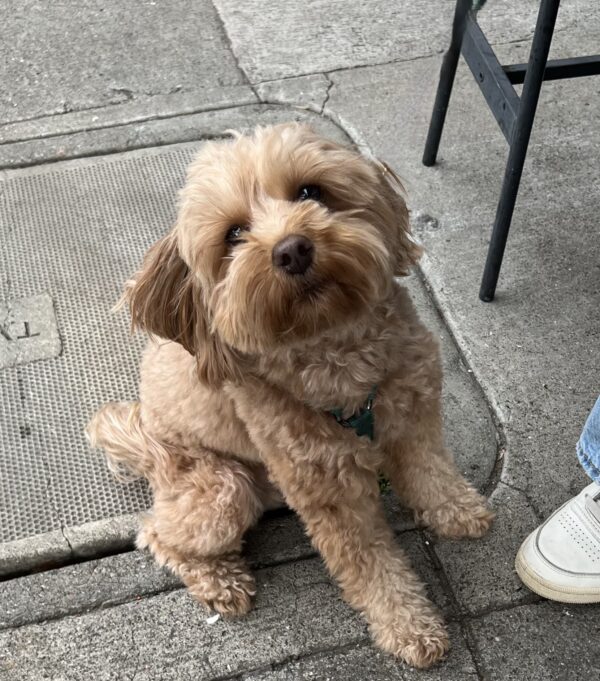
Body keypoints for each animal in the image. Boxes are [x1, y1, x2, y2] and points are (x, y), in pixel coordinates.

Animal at [88, 123, 492, 668]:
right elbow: (370, 565)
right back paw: (220, 580)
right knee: (158, 532)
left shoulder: (413, 412)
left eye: (308, 192)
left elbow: (431, 472)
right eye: (234, 234)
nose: (293, 249)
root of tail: (148, 443)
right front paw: (408, 625)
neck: (338, 356)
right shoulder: (327, 490)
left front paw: (458, 512)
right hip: (222, 488)